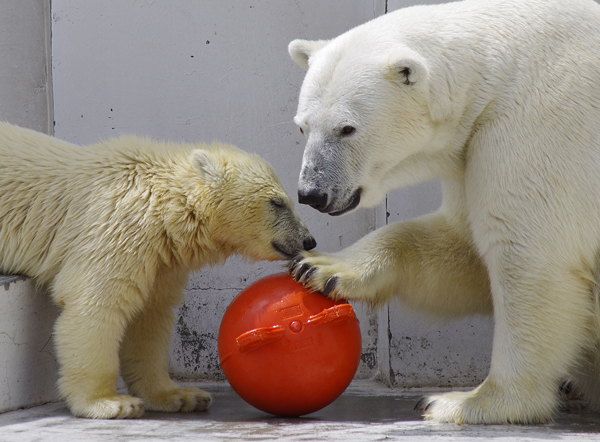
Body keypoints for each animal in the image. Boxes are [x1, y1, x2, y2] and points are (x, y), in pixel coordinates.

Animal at [290, 0, 600, 424]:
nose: (312, 193)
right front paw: (321, 267)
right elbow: (461, 244)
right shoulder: (470, 151)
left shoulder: (539, 129)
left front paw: (466, 401)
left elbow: (528, 255)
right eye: (303, 127)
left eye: (347, 128)